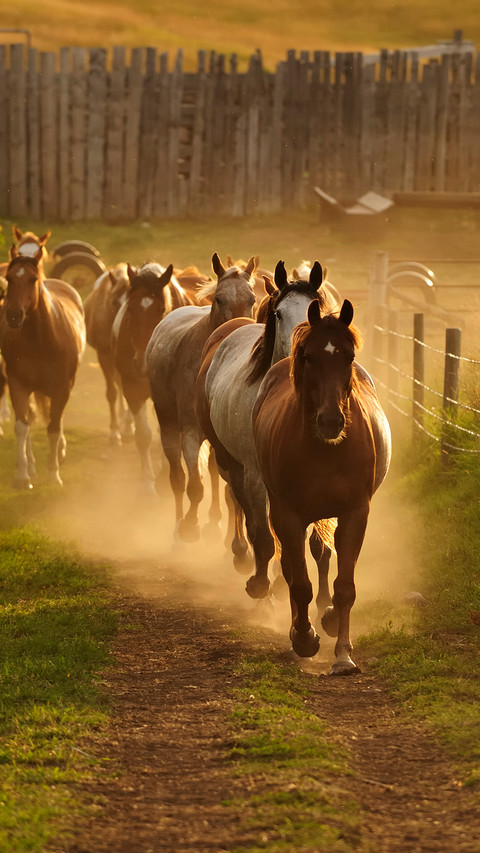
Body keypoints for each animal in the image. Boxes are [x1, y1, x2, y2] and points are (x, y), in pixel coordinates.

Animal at [0, 245, 86, 487]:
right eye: (9, 278)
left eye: (32, 279)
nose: (13, 315)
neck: (41, 340)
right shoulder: (18, 386)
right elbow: (22, 427)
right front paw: (22, 476)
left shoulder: (62, 388)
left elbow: (54, 428)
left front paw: (54, 474)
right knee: (30, 420)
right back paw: (30, 466)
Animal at [112, 262, 193, 492]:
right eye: (130, 309)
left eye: (161, 310)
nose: (142, 364)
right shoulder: (132, 389)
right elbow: (143, 436)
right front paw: (147, 482)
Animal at [146, 252, 257, 542]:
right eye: (219, 299)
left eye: (252, 299)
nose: (240, 328)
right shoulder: (190, 433)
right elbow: (194, 486)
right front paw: (189, 526)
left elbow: (230, 492)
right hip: (168, 424)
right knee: (177, 477)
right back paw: (178, 527)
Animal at [195, 260, 331, 583]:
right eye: (279, 313)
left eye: (317, 310)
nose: (303, 351)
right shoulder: (256, 476)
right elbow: (265, 534)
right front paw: (262, 583)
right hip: (229, 462)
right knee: (238, 503)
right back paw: (242, 554)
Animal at [252, 298, 391, 675]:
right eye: (310, 356)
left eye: (349, 356)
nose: (331, 420)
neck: (326, 450)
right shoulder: (289, 515)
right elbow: (299, 583)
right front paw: (304, 639)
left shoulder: (355, 514)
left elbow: (344, 587)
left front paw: (343, 655)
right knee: (291, 570)